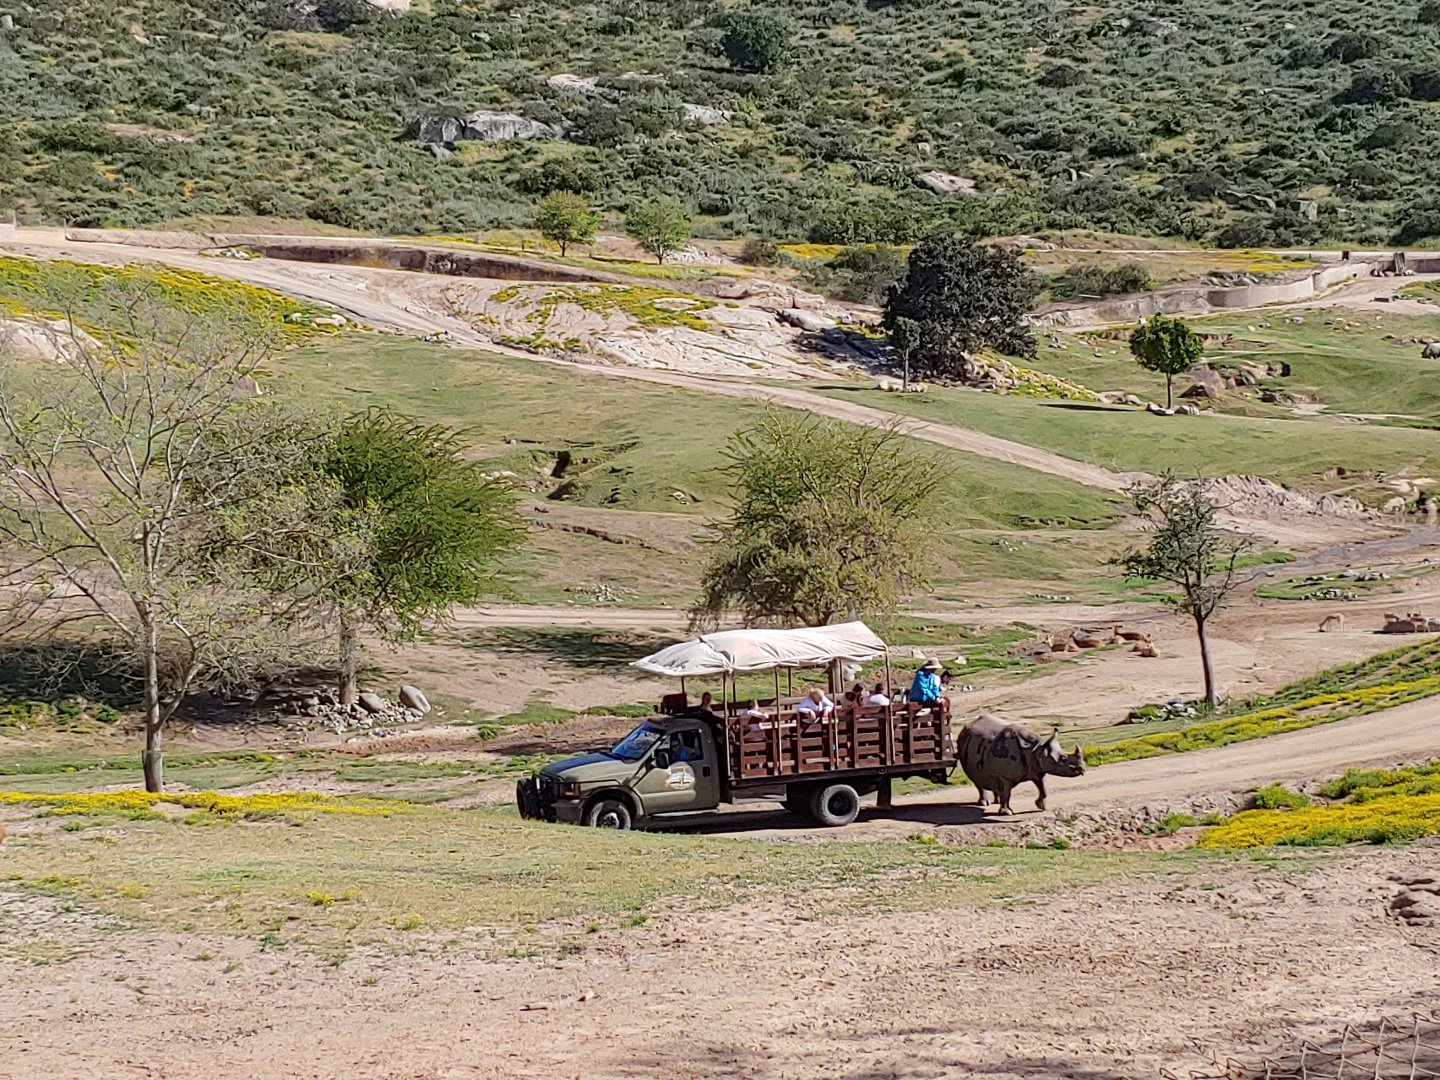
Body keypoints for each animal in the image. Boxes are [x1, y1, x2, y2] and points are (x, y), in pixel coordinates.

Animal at [957, 714, 1086, 815]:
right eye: (1063, 758)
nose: (1082, 769)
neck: (1036, 750)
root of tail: (966, 727)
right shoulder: (1005, 776)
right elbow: (1006, 792)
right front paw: (1007, 813)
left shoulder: (1037, 770)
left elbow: (1043, 788)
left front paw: (1042, 807)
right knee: (977, 779)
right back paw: (985, 803)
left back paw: (996, 801)